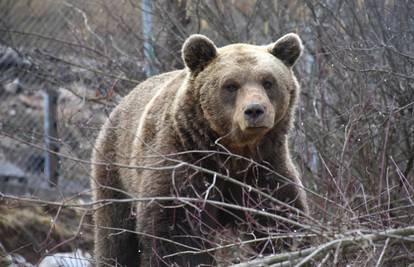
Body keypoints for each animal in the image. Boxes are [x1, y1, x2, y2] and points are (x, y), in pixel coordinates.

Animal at [91, 33, 310, 267]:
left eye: (268, 82)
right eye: (231, 85)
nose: (254, 110)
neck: (234, 153)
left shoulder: (264, 168)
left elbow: (278, 217)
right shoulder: (185, 163)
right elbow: (177, 230)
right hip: (115, 171)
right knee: (116, 235)